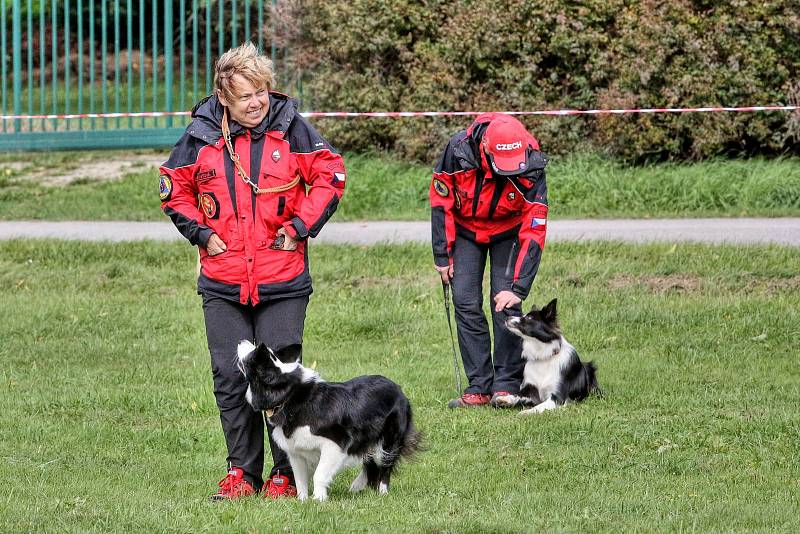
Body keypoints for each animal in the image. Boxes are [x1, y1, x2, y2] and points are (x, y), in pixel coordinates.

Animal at [236, 344, 418, 502]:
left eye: (251, 357)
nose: (241, 341)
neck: (289, 396)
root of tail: (399, 389)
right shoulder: (296, 451)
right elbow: (300, 478)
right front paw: (302, 501)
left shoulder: (336, 443)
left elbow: (319, 474)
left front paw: (319, 499)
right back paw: (357, 487)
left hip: (389, 439)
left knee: (384, 464)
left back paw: (382, 492)